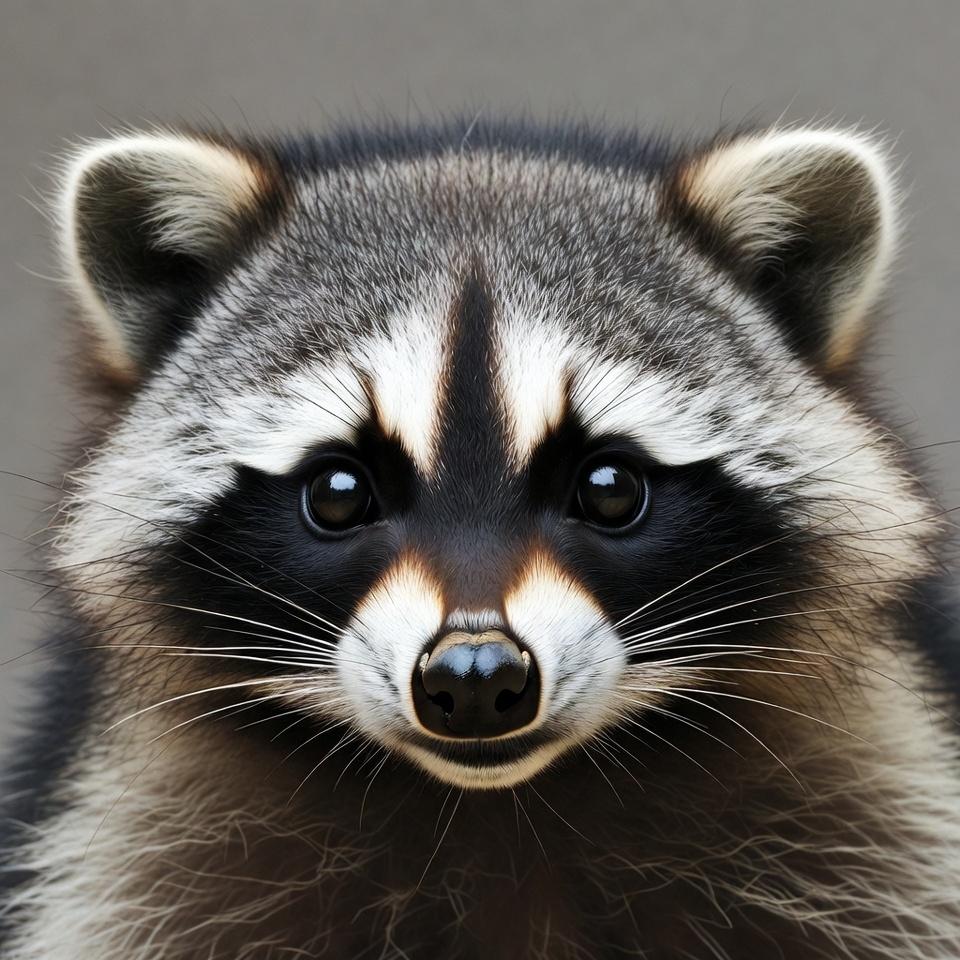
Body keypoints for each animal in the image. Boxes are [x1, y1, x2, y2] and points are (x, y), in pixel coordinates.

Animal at [1, 116, 959, 959]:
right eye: (339, 494)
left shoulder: (890, 822)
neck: (497, 803)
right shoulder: (123, 855)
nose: (472, 677)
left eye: (610, 489)